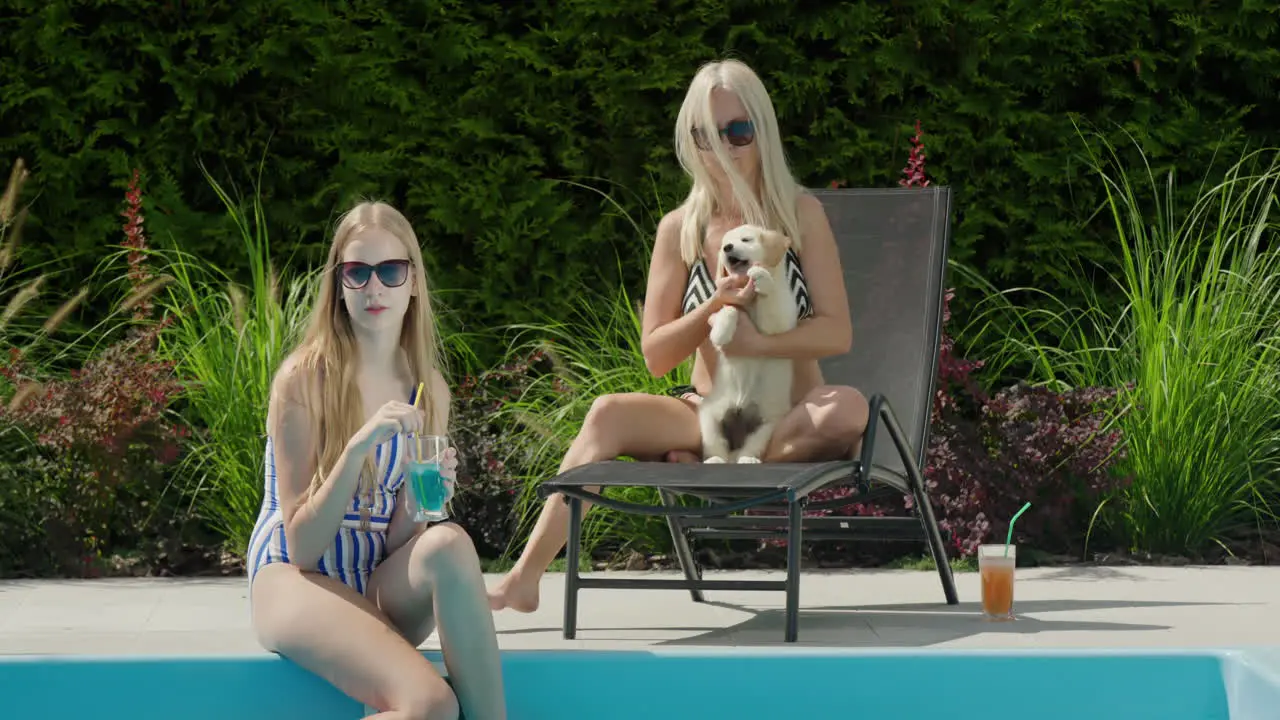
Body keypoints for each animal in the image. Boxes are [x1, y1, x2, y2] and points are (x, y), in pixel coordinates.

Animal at [701, 221, 798, 461]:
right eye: (725, 244)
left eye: (746, 240)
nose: (727, 248)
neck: (752, 301)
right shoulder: (728, 304)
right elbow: (730, 308)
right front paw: (721, 332)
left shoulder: (778, 321)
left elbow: (770, 299)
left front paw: (761, 276)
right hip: (709, 418)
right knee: (717, 449)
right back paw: (715, 461)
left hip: (768, 424)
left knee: (749, 449)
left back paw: (748, 459)